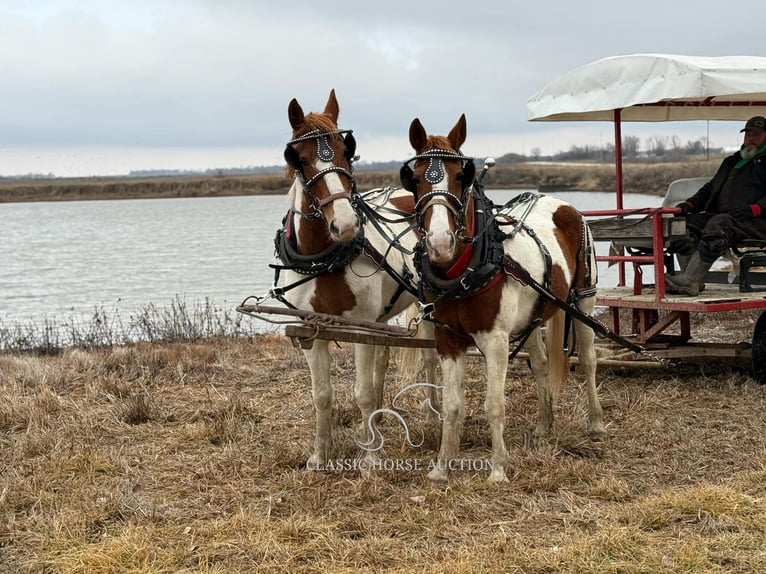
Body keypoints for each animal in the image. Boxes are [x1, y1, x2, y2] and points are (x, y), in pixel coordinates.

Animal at [272, 89, 438, 468]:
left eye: (346, 151)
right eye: (300, 159)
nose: (346, 223)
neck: (322, 259)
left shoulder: (360, 328)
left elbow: (361, 393)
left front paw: (370, 460)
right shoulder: (311, 330)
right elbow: (322, 395)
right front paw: (320, 455)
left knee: (430, 357)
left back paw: (432, 415)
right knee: (383, 359)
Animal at [400, 115, 608, 484]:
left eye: (461, 176)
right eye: (416, 177)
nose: (440, 242)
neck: (464, 270)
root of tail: (560, 203)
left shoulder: (495, 340)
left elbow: (493, 405)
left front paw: (498, 469)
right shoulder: (447, 340)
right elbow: (453, 405)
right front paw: (442, 466)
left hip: (584, 298)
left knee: (587, 359)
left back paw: (596, 423)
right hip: (536, 313)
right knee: (540, 364)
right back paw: (544, 425)